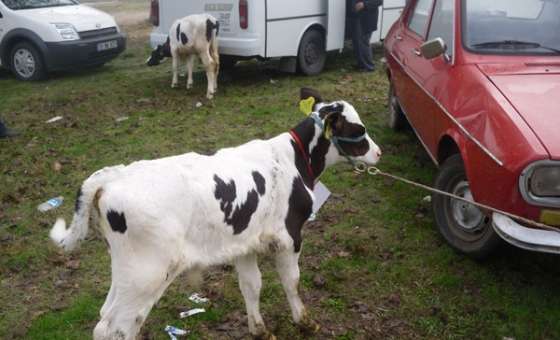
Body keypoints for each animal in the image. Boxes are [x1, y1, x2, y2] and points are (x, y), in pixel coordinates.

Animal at [49, 89, 380, 338]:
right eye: (359, 129)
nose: (378, 152)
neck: (294, 160)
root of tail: (113, 175)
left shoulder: (244, 243)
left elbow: (251, 286)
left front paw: (259, 330)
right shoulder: (289, 237)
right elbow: (292, 282)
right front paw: (306, 322)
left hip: (126, 271)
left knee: (105, 317)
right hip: (148, 273)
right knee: (117, 327)